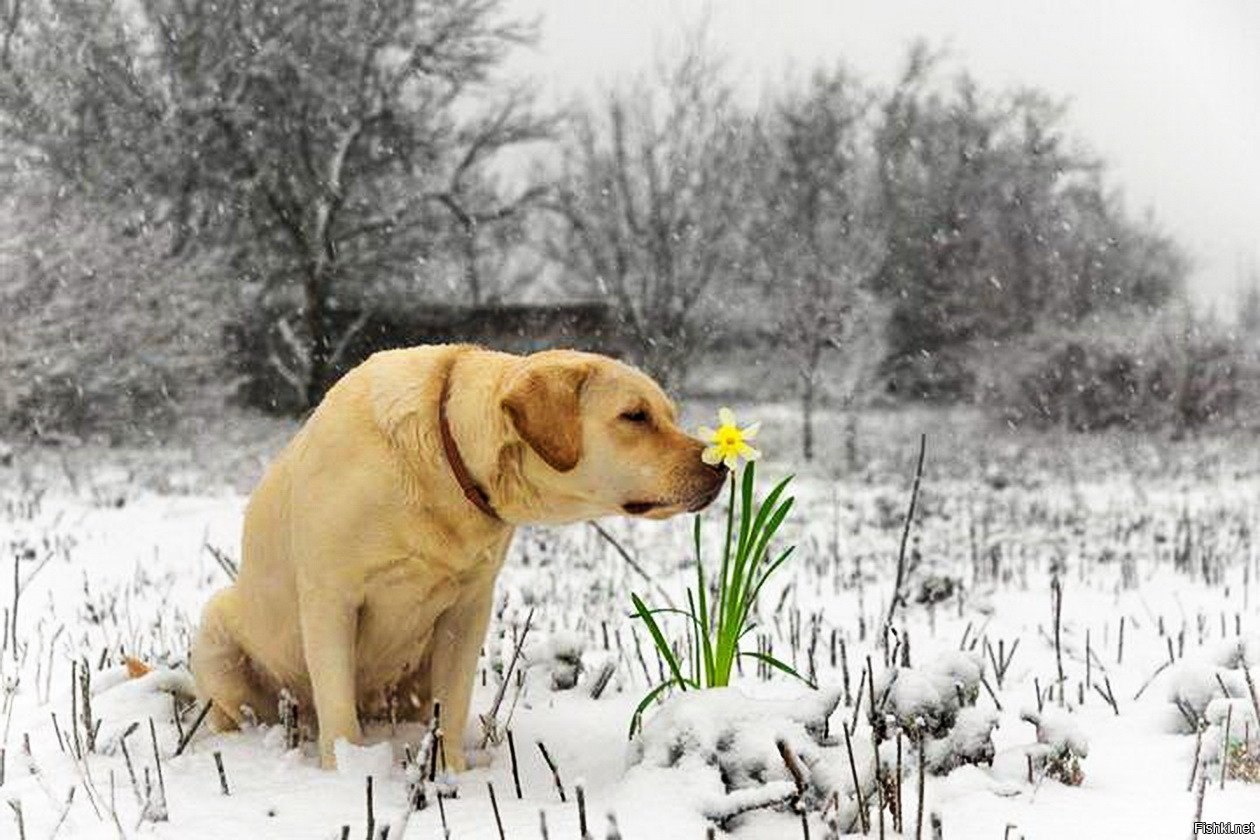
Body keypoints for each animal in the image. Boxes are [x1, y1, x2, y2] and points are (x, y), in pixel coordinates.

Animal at [196, 342, 730, 770]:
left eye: (668, 414)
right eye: (635, 416)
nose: (719, 466)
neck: (444, 459)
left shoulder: (467, 608)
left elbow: (449, 708)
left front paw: (450, 774)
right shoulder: (332, 600)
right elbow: (339, 712)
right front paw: (346, 775)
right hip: (215, 630)